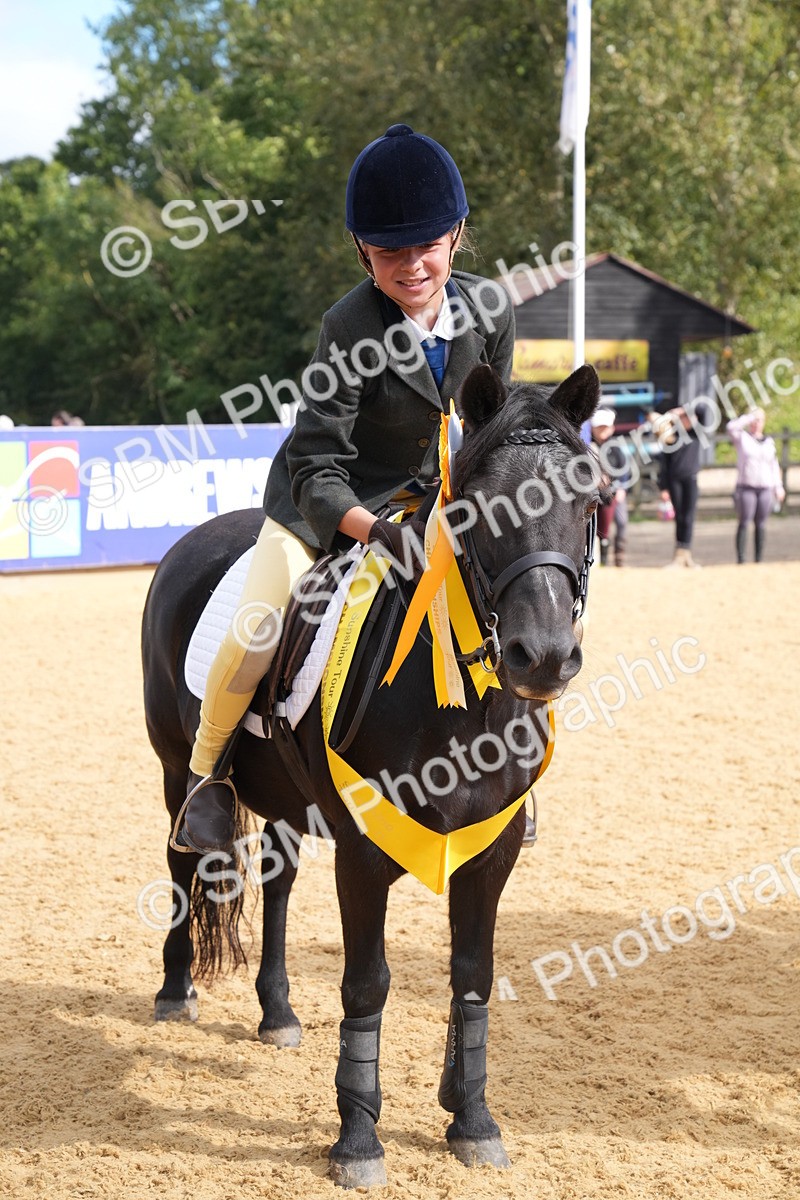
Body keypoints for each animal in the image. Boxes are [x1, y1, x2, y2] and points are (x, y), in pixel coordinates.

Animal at [141, 362, 601, 1188]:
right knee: (181, 859)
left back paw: (278, 1013)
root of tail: (197, 537)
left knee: (278, 882)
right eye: (477, 507)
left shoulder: (492, 850)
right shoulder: (363, 849)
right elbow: (367, 981)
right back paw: (174, 991)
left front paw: (472, 1119)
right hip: (172, 768)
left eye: (588, 501)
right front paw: (358, 1136)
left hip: (285, 796)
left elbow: (473, 974)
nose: (544, 657)